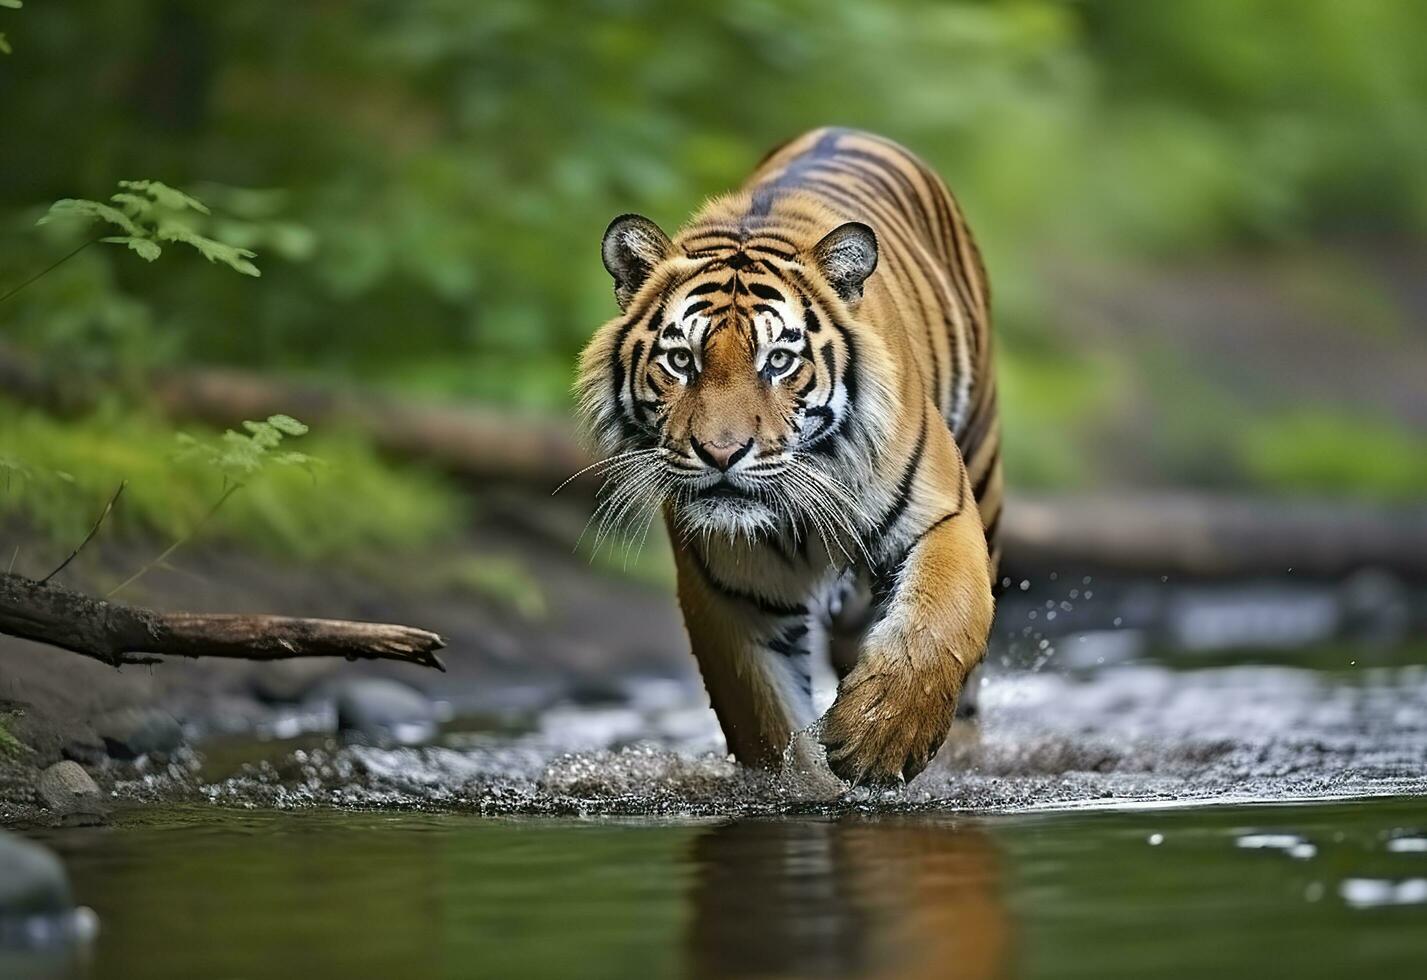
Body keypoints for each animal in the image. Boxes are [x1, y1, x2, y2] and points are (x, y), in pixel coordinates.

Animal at [573, 126, 998, 787]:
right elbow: (766, 717)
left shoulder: (943, 515)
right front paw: (806, 785)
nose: (721, 453)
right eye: (681, 360)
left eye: (777, 361)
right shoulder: (727, 591)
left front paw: (878, 738)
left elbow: (938, 621)